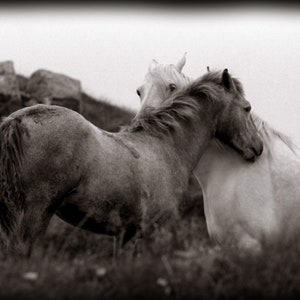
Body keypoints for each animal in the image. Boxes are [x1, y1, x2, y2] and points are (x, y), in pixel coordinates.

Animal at [0, 67, 262, 253]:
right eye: (247, 108)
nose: (257, 147)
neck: (165, 147)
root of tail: (19, 118)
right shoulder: (147, 232)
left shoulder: (124, 234)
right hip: (37, 211)